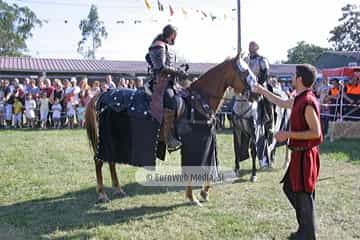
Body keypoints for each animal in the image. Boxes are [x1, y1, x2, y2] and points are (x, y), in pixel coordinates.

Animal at [84, 54, 255, 204]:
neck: (199, 101)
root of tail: (100, 95)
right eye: (245, 72)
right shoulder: (196, 145)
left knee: (111, 161)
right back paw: (102, 194)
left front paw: (204, 193)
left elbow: (209, 164)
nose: (255, 94)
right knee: (99, 161)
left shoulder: (208, 142)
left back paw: (118, 189)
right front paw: (192, 197)